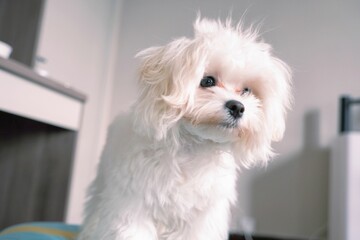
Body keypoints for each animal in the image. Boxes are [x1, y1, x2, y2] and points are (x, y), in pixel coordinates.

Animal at [79, 17, 292, 239]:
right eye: (207, 81)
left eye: (247, 91)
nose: (237, 107)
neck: (193, 149)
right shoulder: (132, 205)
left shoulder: (201, 218)